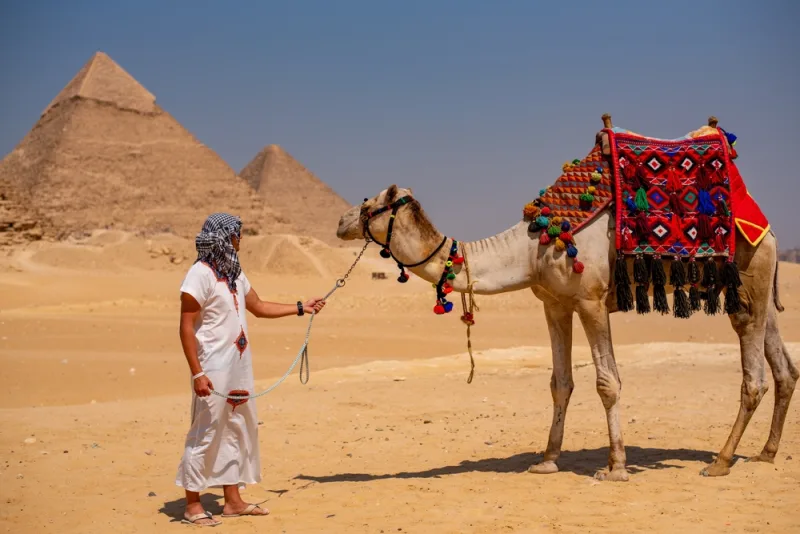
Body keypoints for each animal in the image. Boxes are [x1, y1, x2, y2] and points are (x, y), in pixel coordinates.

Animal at [335, 128, 798, 481]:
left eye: (368, 204)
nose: (341, 221)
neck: (532, 248)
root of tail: (767, 225)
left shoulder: (591, 301)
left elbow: (607, 383)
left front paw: (616, 467)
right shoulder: (554, 304)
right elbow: (560, 383)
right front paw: (547, 460)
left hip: (751, 273)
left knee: (753, 374)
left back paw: (721, 461)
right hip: (755, 285)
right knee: (783, 367)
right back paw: (766, 453)